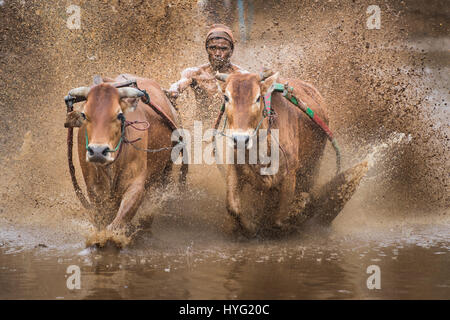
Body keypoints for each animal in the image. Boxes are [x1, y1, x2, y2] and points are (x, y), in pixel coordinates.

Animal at [66, 74, 181, 240]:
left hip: (165, 171)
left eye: (119, 115)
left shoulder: (136, 185)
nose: (98, 151)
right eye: (84, 115)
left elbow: (117, 223)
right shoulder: (94, 189)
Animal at [216, 72, 368, 238]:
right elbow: (233, 208)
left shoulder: (290, 174)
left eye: (257, 98)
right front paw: (249, 227)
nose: (240, 139)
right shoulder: (234, 167)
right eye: (226, 97)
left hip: (313, 165)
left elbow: (279, 219)